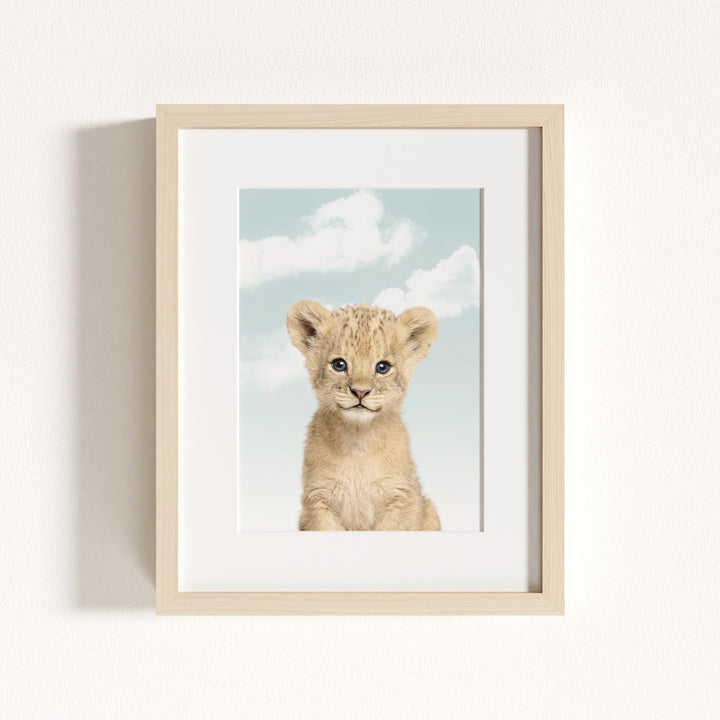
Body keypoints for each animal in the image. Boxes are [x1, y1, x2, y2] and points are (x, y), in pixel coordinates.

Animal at [286, 300, 441, 531]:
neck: (358, 442)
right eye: (339, 365)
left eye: (382, 367)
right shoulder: (318, 500)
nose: (360, 392)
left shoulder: (401, 498)